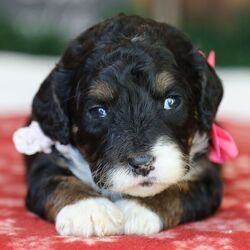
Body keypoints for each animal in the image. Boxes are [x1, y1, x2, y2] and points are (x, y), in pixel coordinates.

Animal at [23, 14, 225, 236]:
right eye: (98, 111)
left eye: (171, 102)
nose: (143, 164)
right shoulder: (47, 158)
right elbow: (56, 179)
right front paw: (89, 210)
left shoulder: (204, 174)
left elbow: (179, 189)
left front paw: (136, 210)